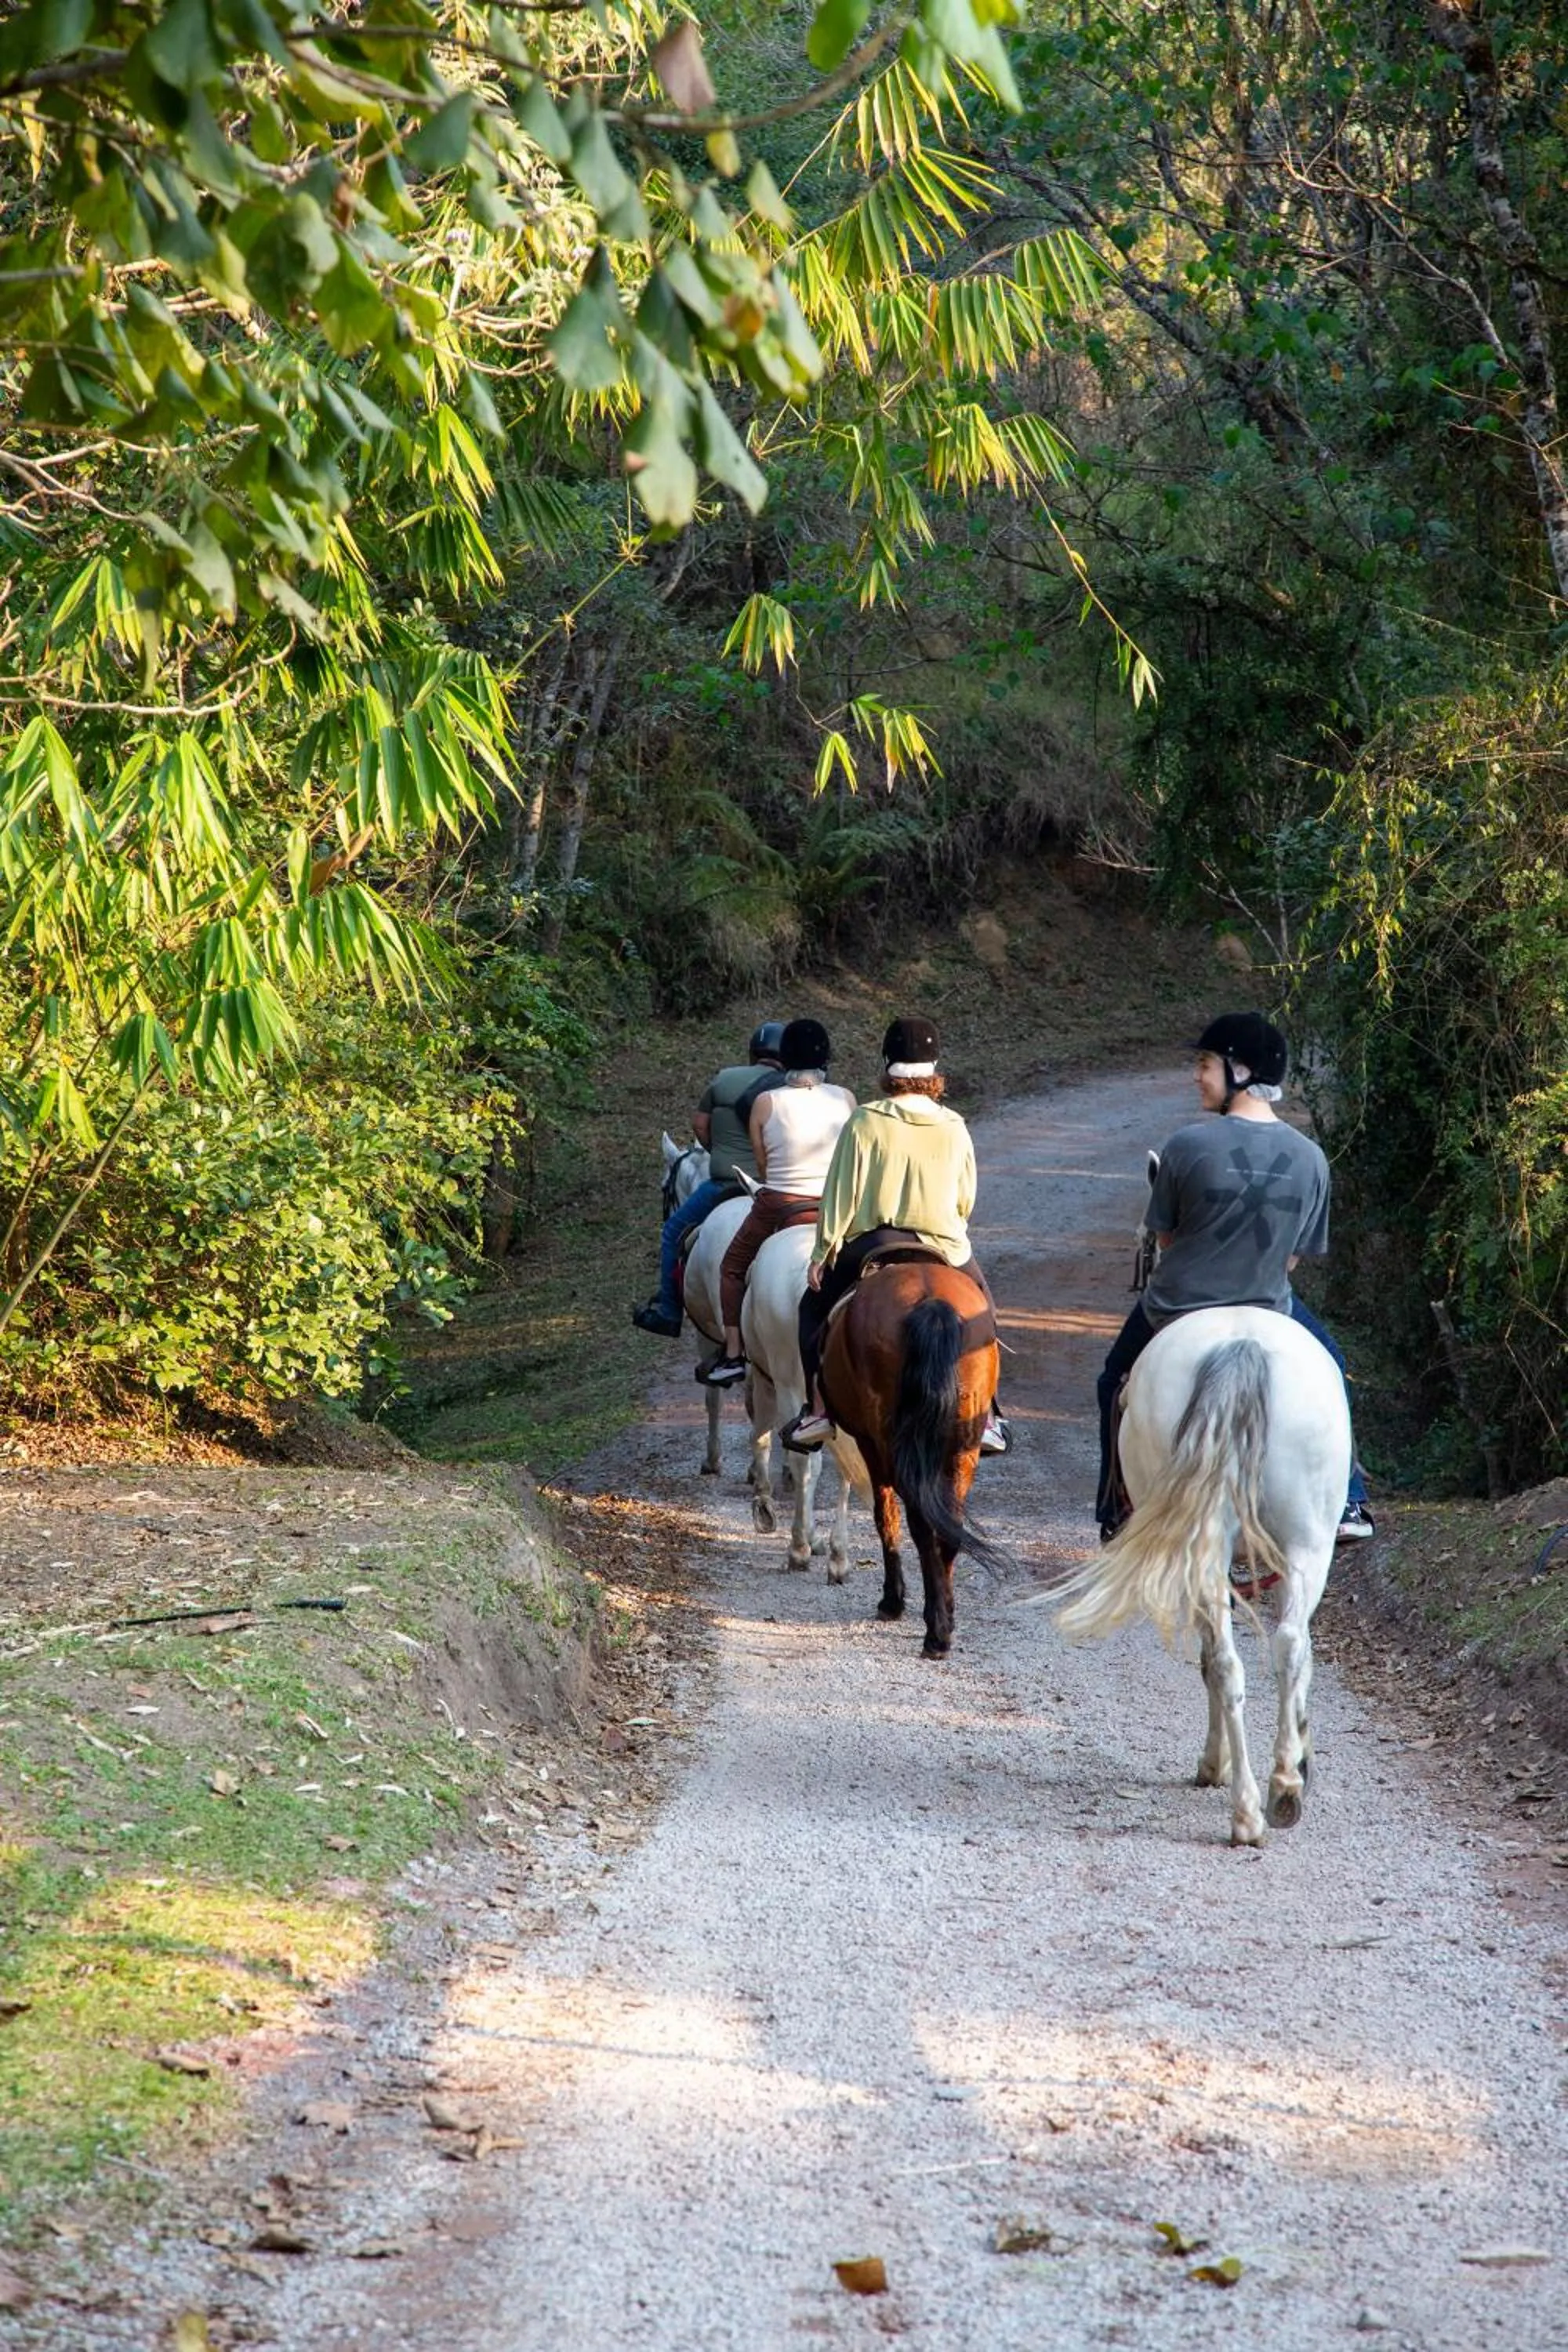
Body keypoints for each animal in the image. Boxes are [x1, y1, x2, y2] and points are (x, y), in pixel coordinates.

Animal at [741, 1224, 851, 1580]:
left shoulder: (769, 1381)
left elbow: (763, 1439)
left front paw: (764, 1503)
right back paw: (837, 1556)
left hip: (785, 1383)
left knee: (800, 1458)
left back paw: (800, 1547)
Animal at [820, 1254, 1007, 1659]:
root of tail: (929, 1301)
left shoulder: (869, 1443)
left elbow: (885, 1515)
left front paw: (893, 1600)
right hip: (963, 1443)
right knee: (949, 1523)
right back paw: (943, 1620)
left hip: (891, 1441)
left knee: (919, 1521)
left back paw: (933, 1630)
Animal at [1050, 1306, 1350, 1847]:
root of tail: (1241, 1346)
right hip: (1293, 1546)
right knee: (1263, 1652)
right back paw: (1264, 1793)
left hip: (1265, 1546)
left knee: (1260, 1654)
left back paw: (1262, 1802)